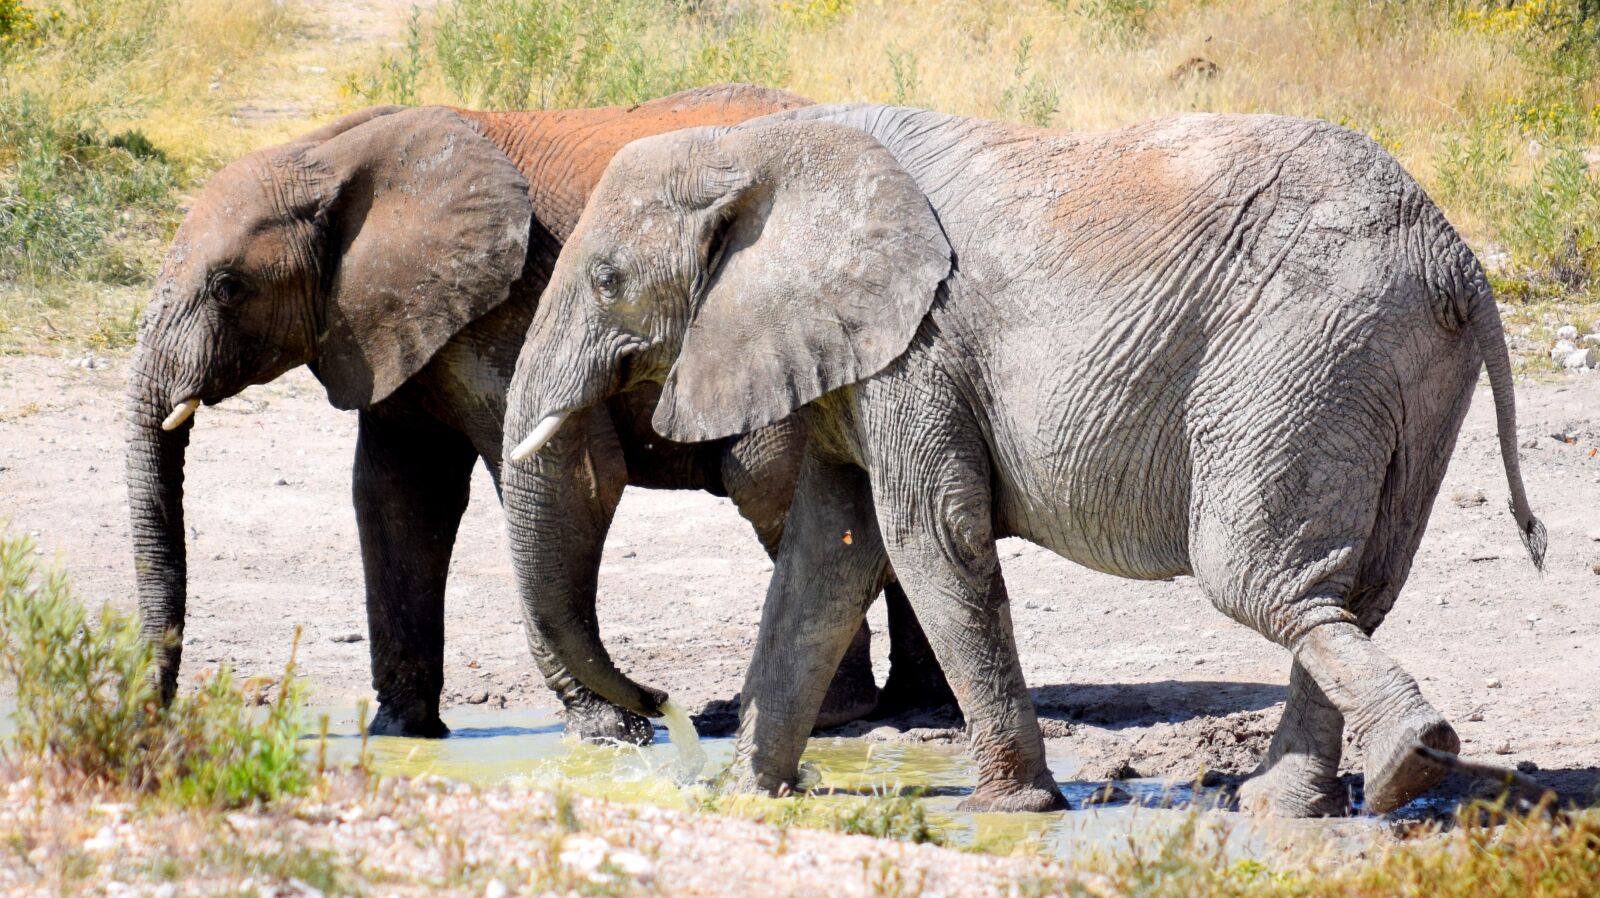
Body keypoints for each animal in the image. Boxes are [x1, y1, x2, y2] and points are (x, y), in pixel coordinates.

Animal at [125, 85, 953, 745]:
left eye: (228, 287)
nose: (155, 714)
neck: (326, 153)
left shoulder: (508, 304)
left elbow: (574, 477)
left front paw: (607, 734)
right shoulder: (388, 321)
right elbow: (398, 496)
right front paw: (402, 734)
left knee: (769, 483)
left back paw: (832, 717)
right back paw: (918, 712)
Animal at [502, 103, 1546, 816]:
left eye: (607, 280)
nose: (657, 712)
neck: (760, 142)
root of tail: (1458, 259)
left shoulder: (918, 347)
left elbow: (929, 540)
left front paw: (1009, 808)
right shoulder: (859, 359)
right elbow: (823, 561)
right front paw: (745, 799)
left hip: (1305, 353)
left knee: (1258, 580)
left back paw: (1400, 764)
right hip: (1391, 370)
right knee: (1355, 588)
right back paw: (1296, 804)